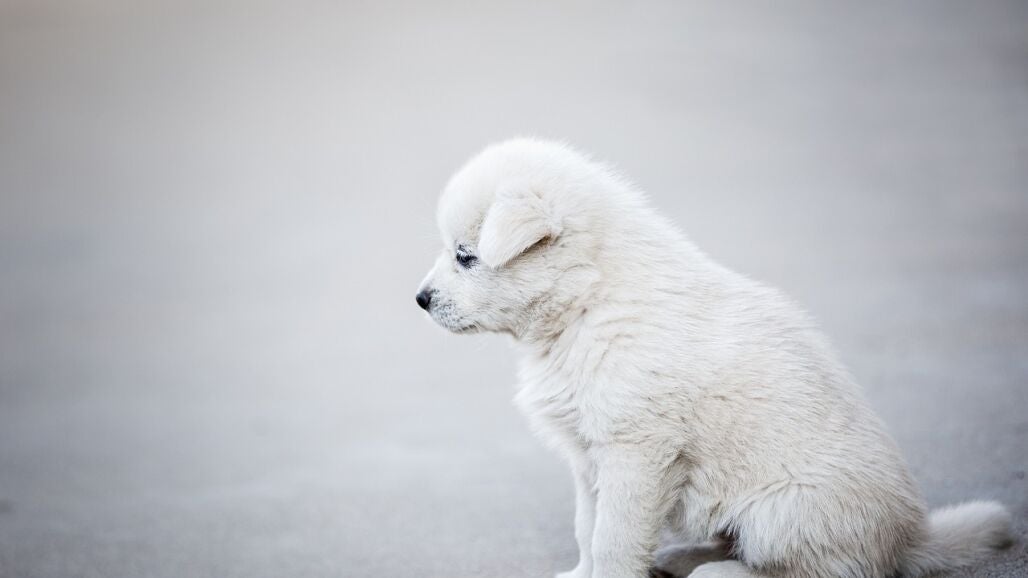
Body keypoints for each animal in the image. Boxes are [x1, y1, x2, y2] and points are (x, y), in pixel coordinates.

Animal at [416, 138, 1012, 578]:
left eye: (465, 256)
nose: (419, 300)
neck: (588, 303)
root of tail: (909, 539)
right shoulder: (588, 455)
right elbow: (588, 528)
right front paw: (580, 573)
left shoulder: (636, 451)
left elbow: (613, 537)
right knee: (734, 543)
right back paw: (680, 557)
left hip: (783, 511)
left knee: (814, 570)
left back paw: (717, 572)